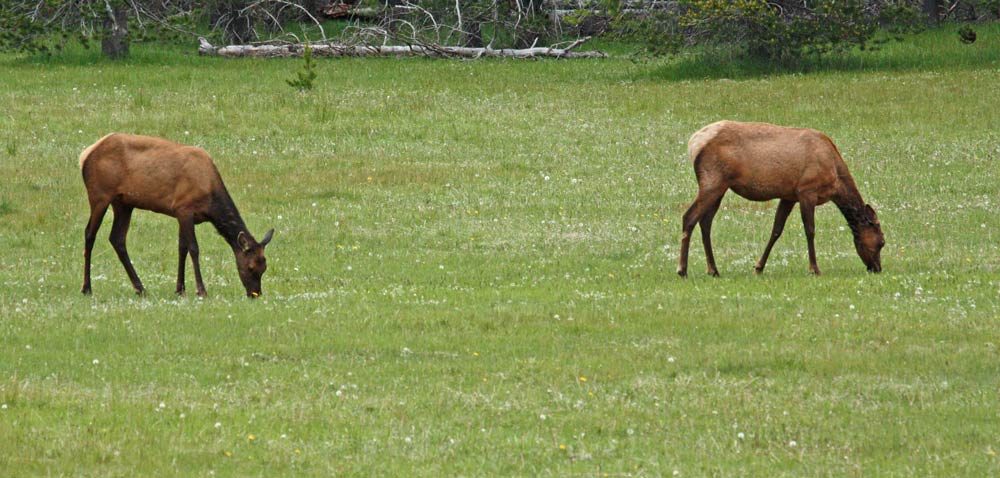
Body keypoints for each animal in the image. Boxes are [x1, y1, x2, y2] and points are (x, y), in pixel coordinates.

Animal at [79, 133, 274, 298]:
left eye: (264, 267)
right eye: (250, 267)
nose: (255, 294)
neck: (210, 199)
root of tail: (85, 155)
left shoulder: (182, 214)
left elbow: (182, 248)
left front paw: (180, 289)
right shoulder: (184, 208)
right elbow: (194, 248)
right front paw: (201, 290)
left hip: (123, 203)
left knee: (117, 238)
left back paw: (140, 288)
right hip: (99, 195)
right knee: (89, 234)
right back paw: (87, 288)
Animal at [677, 121, 884, 277]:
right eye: (881, 242)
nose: (877, 268)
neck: (835, 179)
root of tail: (693, 143)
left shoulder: (788, 196)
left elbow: (776, 229)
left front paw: (758, 267)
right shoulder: (807, 190)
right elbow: (810, 230)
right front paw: (814, 269)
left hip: (720, 187)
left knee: (705, 222)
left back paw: (713, 270)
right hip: (712, 181)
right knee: (689, 217)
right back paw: (682, 270)